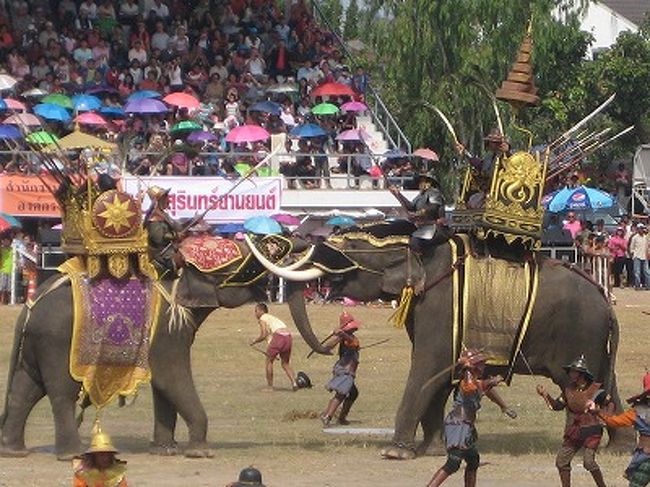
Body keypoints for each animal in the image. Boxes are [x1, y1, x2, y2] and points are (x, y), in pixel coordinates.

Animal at [0, 240, 324, 462]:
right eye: (244, 265)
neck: (177, 271)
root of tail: (29, 308)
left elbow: (163, 386)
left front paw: (165, 450)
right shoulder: (168, 330)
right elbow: (173, 378)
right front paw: (200, 453)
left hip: (36, 345)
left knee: (24, 391)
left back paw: (14, 452)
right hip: (56, 343)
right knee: (61, 394)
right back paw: (73, 454)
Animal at [247, 225, 628, 462]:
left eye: (349, 251)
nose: (326, 348)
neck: (421, 247)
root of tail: (606, 301)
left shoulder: (439, 306)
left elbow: (428, 367)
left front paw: (395, 453)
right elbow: (441, 375)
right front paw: (429, 450)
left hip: (580, 334)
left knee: (580, 388)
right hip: (594, 343)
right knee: (602, 388)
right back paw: (615, 449)